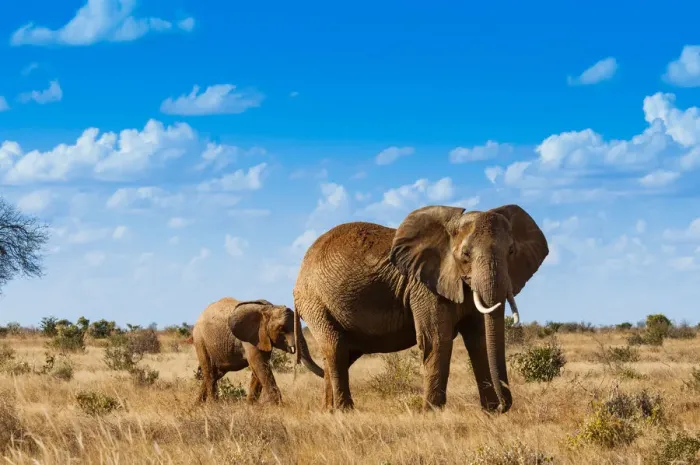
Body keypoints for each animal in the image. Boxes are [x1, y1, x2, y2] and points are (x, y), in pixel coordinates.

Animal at [192, 297, 324, 404]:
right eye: (281, 329)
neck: (269, 309)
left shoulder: (263, 337)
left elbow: (259, 367)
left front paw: (250, 405)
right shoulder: (251, 337)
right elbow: (259, 364)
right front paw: (278, 406)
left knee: (216, 373)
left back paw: (198, 404)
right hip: (199, 339)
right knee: (209, 370)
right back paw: (213, 405)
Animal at [293, 204, 548, 413]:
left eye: (511, 252)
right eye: (465, 254)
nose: (504, 406)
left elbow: (479, 340)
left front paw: (490, 412)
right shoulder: (425, 287)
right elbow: (437, 339)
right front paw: (433, 413)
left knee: (342, 354)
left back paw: (329, 411)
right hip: (315, 301)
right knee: (335, 349)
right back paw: (345, 412)